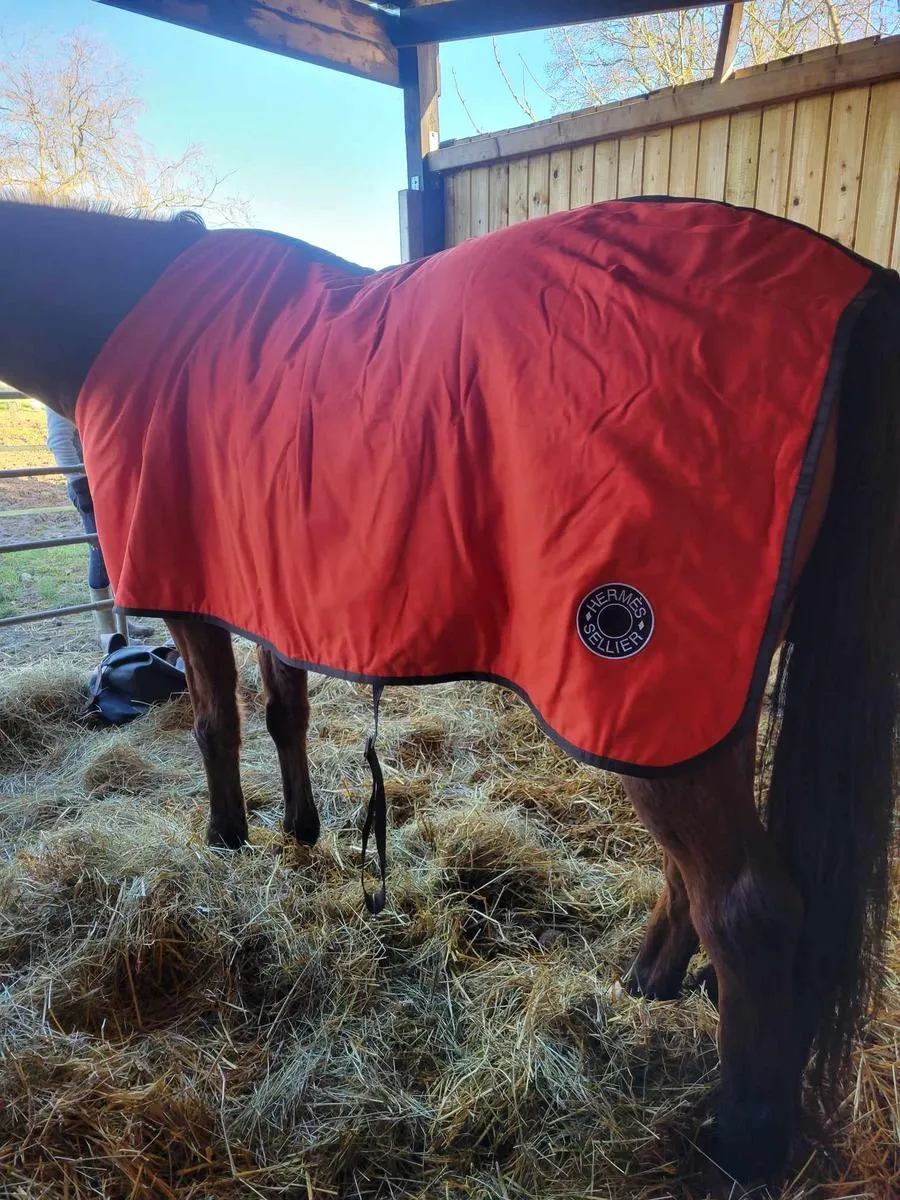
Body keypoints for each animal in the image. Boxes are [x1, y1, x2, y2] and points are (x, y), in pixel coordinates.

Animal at [3, 199, 897, 1190]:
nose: (80, 500)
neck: (130, 309)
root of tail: (855, 284)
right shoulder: (274, 590)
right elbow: (284, 713)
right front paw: (300, 830)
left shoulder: (193, 597)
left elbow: (213, 724)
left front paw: (225, 839)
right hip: (693, 708)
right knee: (695, 874)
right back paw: (650, 982)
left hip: (651, 681)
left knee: (749, 908)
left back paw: (739, 1146)